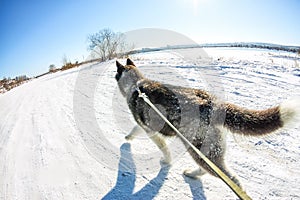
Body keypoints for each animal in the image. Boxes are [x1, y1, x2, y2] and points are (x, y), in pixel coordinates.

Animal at [115, 57, 298, 186]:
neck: (136, 84)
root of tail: (213, 104)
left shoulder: (151, 131)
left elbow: (164, 149)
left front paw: (166, 161)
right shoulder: (144, 125)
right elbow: (135, 129)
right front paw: (128, 137)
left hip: (198, 148)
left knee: (232, 178)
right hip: (207, 149)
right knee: (211, 170)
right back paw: (192, 174)